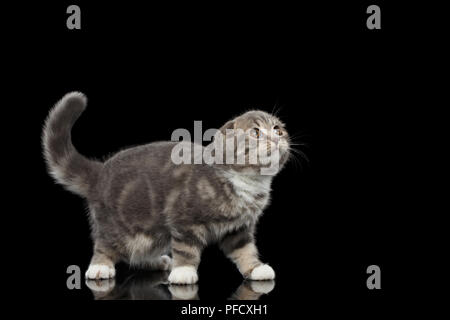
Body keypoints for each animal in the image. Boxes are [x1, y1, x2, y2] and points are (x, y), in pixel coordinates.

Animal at [43, 91, 292, 284]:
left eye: (278, 129)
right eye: (256, 132)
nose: (276, 138)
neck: (246, 181)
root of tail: (100, 171)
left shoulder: (239, 228)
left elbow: (245, 249)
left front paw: (256, 267)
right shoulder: (184, 218)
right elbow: (185, 248)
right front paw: (184, 272)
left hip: (150, 234)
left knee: (138, 251)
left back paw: (155, 260)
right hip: (117, 225)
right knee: (105, 243)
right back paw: (100, 267)